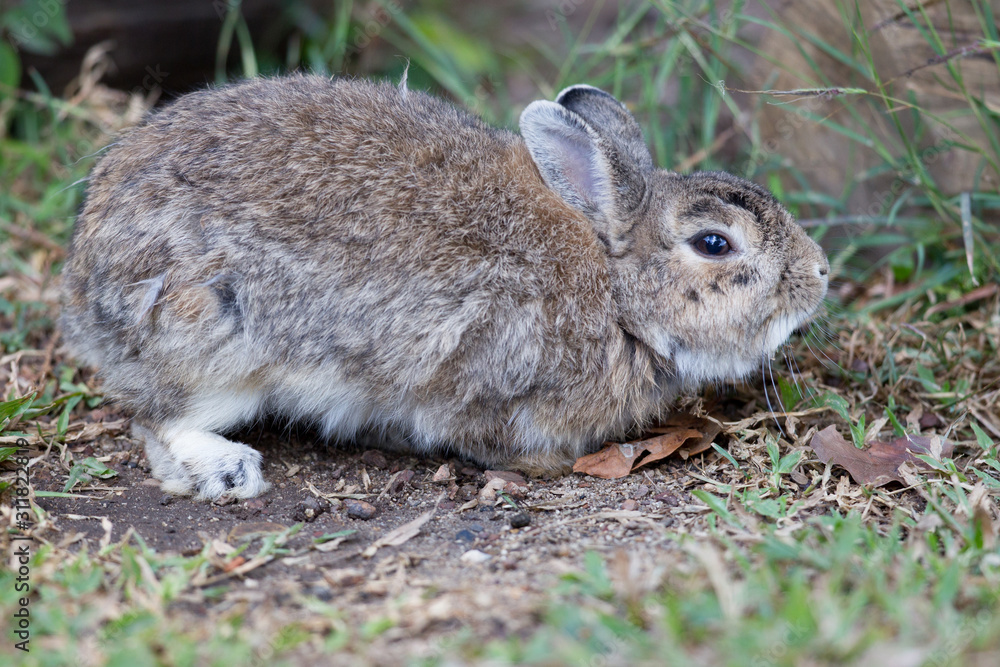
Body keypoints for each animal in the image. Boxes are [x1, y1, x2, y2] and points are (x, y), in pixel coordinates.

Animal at [61, 74, 829, 500]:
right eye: (714, 244)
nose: (820, 274)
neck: (618, 291)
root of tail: (85, 283)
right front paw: (545, 464)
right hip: (219, 344)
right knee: (159, 422)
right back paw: (231, 472)